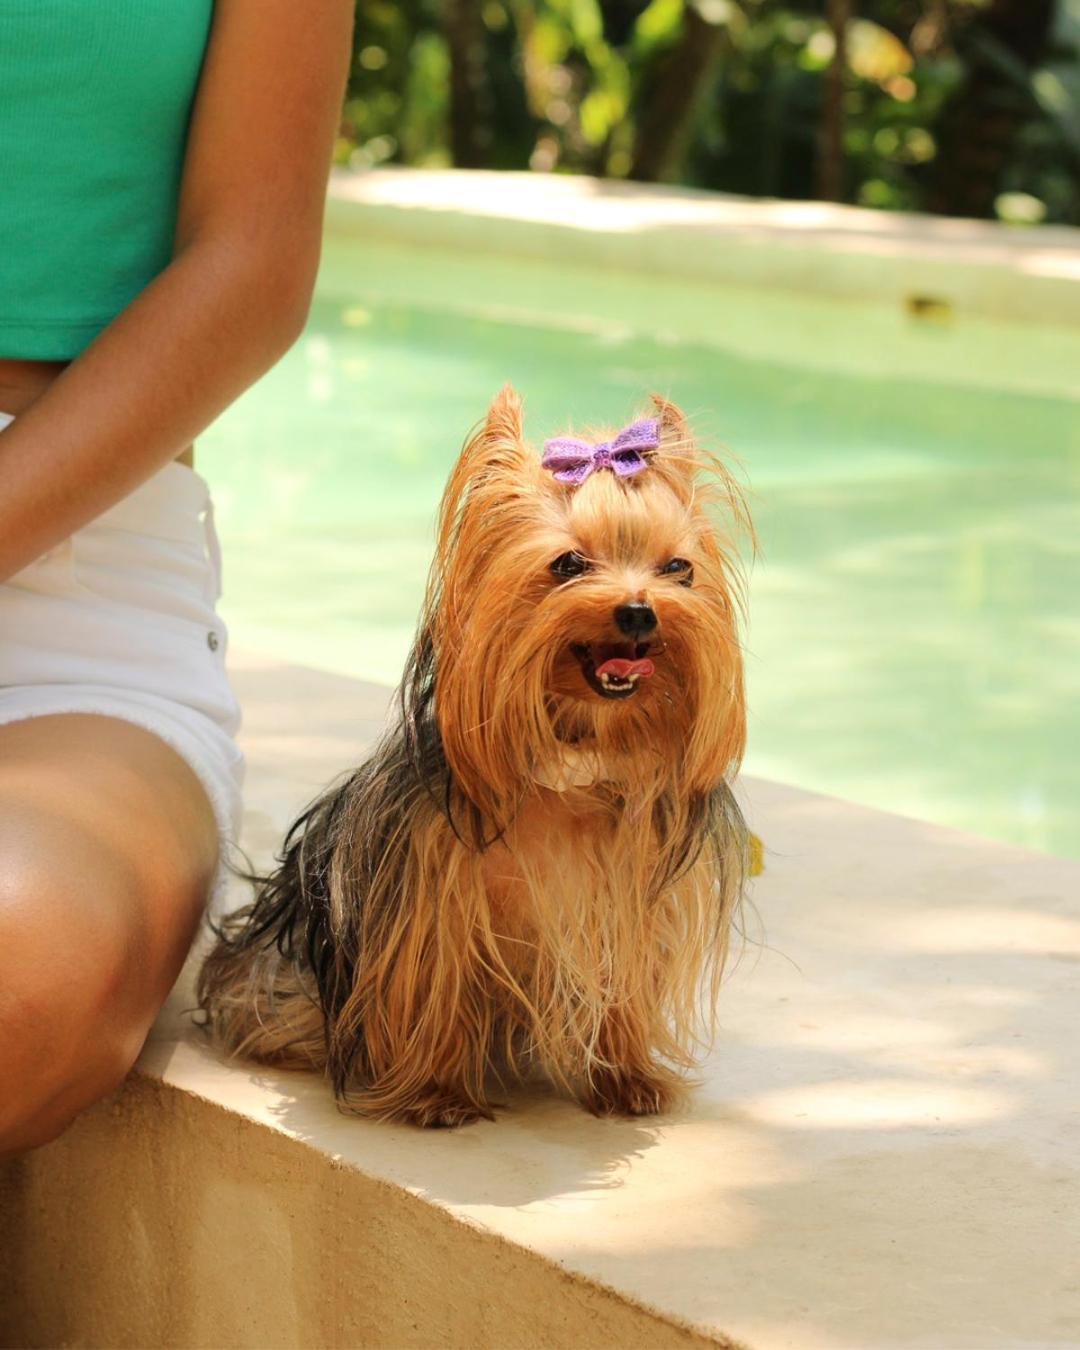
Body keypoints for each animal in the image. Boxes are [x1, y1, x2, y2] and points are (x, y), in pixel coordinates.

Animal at [198, 386, 750, 1123]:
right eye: (568, 565)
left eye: (678, 569)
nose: (640, 611)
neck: (575, 758)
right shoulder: (430, 883)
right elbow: (436, 975)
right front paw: (437, 1092)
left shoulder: (633, 891)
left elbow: (624, 977)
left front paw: (625, 1079)